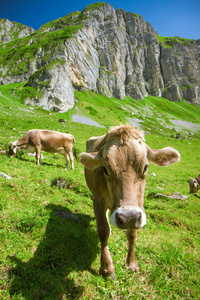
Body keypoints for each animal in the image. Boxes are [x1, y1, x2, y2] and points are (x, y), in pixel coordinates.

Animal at [80, 124, 181, 278]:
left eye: (145, 167)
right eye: (105, 169)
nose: (127, 218)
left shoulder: (137, 208)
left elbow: (132, 234)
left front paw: (132, 263)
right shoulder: (97, 198)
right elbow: (102, 230)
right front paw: (106, 268)